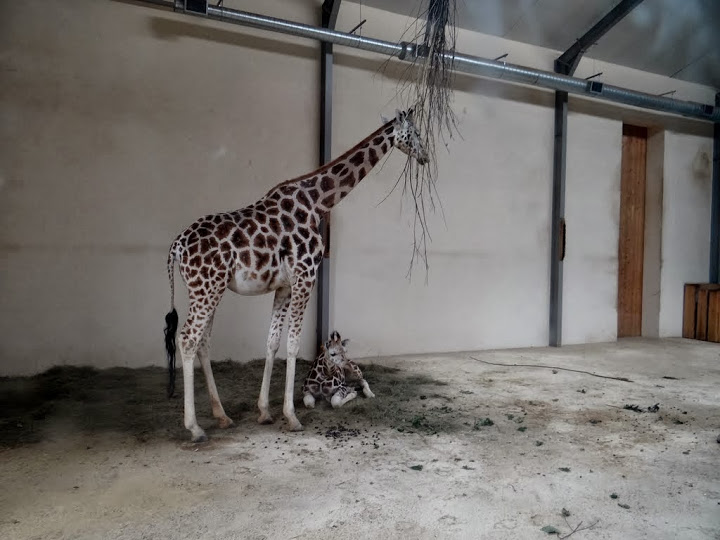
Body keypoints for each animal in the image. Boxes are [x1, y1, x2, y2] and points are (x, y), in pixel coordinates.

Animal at [163, 108, 428, 442]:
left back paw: (222, 416)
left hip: (208, 289)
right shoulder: (306, 275)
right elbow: (293, 344)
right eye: (416, 133)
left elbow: (272, 342)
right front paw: (291, 416)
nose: (426, 156)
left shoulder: (285, 286)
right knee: (187, 339)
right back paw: (195, 427)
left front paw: (264, 411)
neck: (318, 202)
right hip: (206, 289)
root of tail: (176, 245)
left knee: (203, 341)